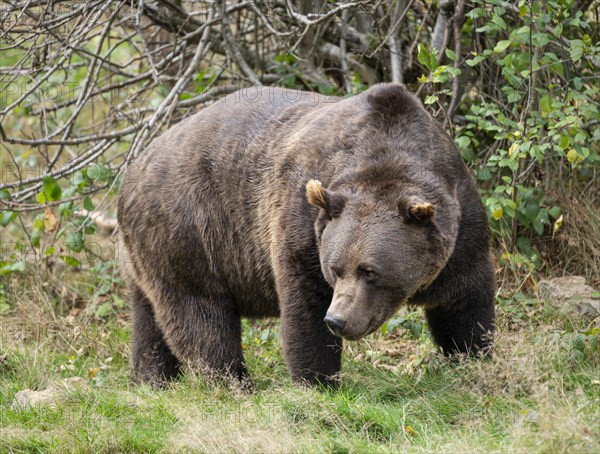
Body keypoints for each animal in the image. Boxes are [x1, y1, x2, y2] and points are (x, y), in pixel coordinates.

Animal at [117, 82, 496, 386]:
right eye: (336, 268)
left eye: (370, 271)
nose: (338, 319)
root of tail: (133, 167)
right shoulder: (302, 225)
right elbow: (306, 308)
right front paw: (318, 380)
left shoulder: (459, 223)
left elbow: (463, 303)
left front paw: (472, 358)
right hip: (190, 231)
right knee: (199, 315)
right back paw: (232, 382)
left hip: (145, 254)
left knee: (148, 318)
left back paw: (152, 378)